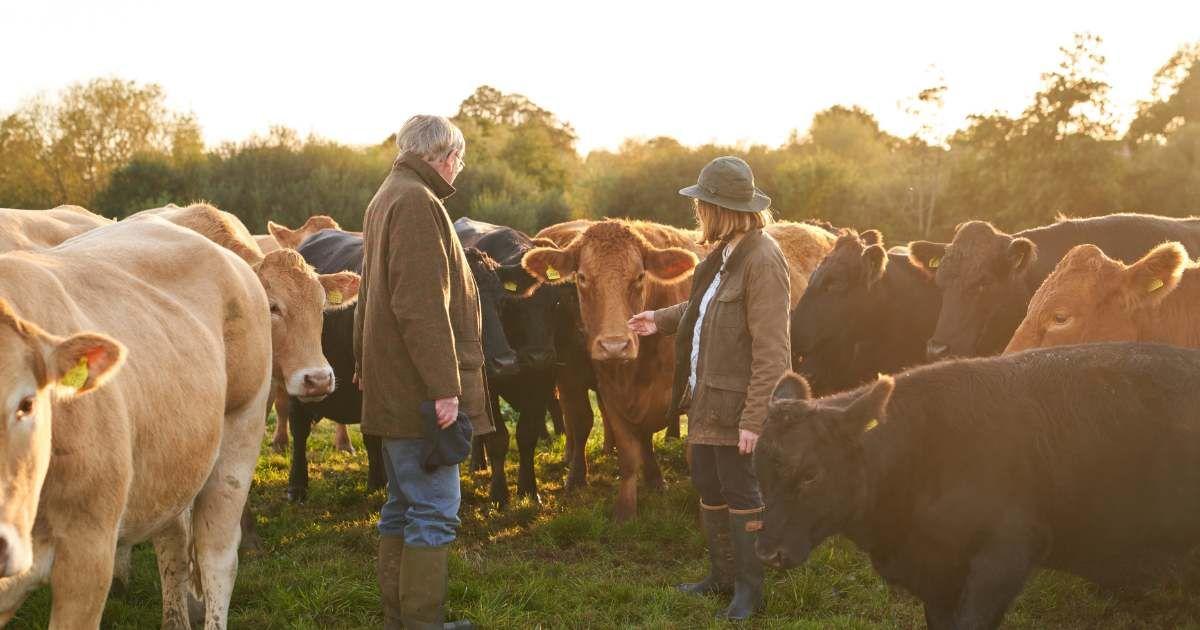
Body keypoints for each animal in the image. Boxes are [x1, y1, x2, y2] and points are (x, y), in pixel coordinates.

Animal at [523, 219, 834, 519]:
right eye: (582, 277)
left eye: (639, 276)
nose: (614, 345)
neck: (633, 377)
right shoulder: (610, 394)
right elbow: (628, 455)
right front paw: (626, 511)